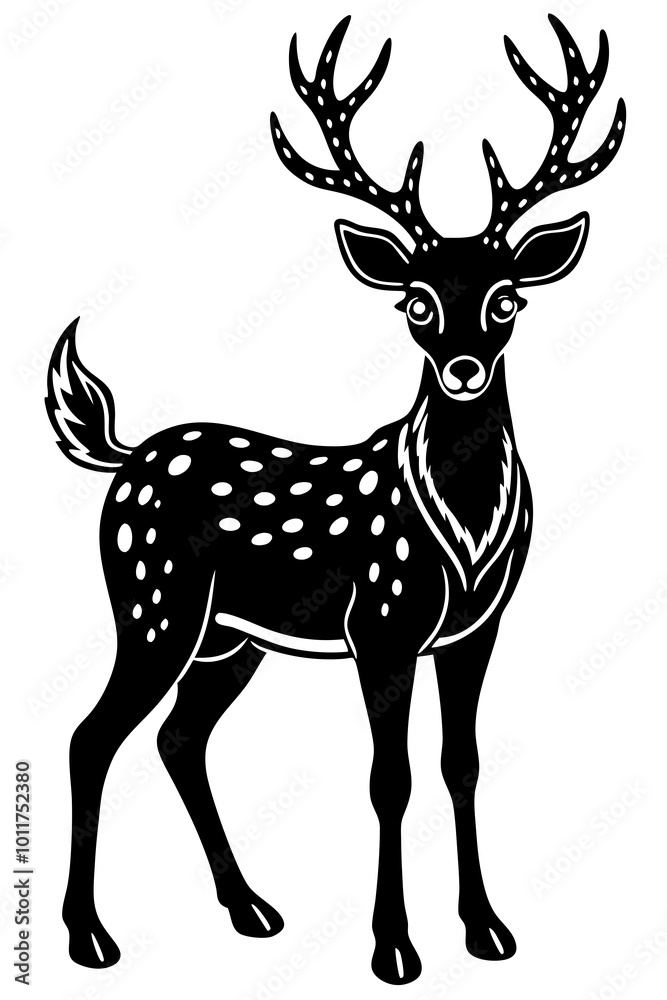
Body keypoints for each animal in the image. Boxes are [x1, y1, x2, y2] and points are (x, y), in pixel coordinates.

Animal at [47, 13, 625, 985]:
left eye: (506, 298)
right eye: (415, 302)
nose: (463, 369)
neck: (465, 524)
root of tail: (124, 456)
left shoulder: (476, 629)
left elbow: (460, 764)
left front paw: (487, 930)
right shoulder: (381, 625)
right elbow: (388, 779)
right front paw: (393, 949)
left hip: (228, 640)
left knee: (177, 739)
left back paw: (250, 909)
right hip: (152, 602)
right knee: (93, 737)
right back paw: (91, 938)